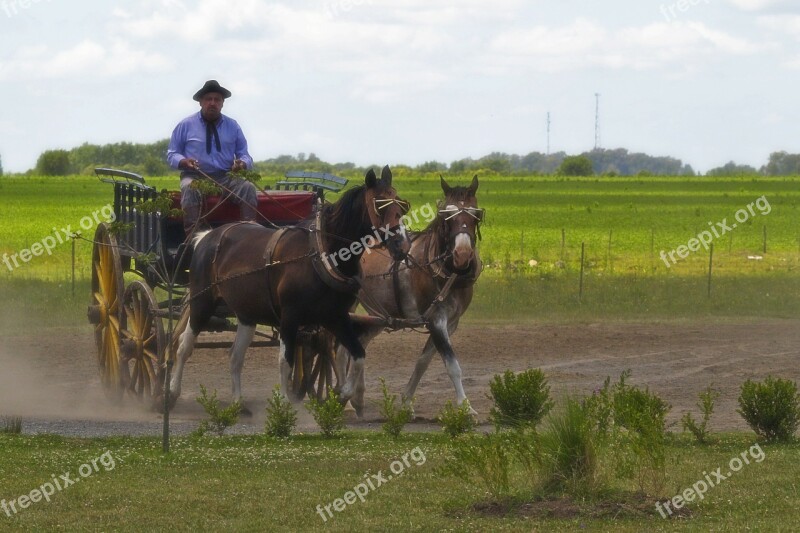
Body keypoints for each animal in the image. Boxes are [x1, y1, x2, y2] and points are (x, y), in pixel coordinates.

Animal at [173, 165, 416, 408]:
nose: (402, 244)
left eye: (401, 205)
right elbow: (285, 361)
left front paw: (342, 394)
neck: (322, 255)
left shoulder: (335, 317)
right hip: (201, 302)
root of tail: (206, 236)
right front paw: (283, 402)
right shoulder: (290, 317)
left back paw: (238, 402)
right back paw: (171, 391)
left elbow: (358, 355)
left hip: (247, 312)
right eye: (379, 204)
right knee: (184, 346)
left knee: (235, 356)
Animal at [336, 175, 482, 416]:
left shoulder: (451, 323)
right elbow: (452, 365)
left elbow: (423, 362)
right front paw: (466, 406)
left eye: (476, 215)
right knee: (340, 346)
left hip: (378, 313)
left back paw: (356, 397)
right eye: (445, 216)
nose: (462, 255)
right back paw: (343, 395)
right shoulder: (436, 320)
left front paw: (406, 402)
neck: (443, 271)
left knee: (358, 342)